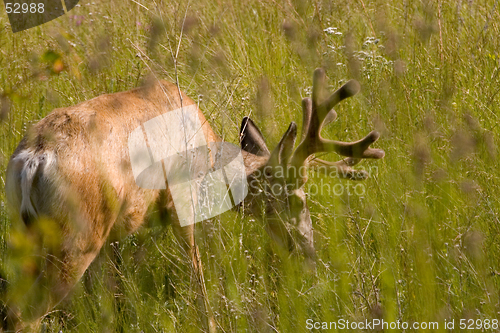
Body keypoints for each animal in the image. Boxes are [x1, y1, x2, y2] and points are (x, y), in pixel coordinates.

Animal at [1, 68, 384, 332]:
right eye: (297, 201)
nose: (309, 253)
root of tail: (34, 158)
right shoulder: (181, 197)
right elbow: (197, 268)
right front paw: (211, 323)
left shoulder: (115, 235)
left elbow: (110, 294)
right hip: (76, 238)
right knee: (22, 315)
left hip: (34, 235)